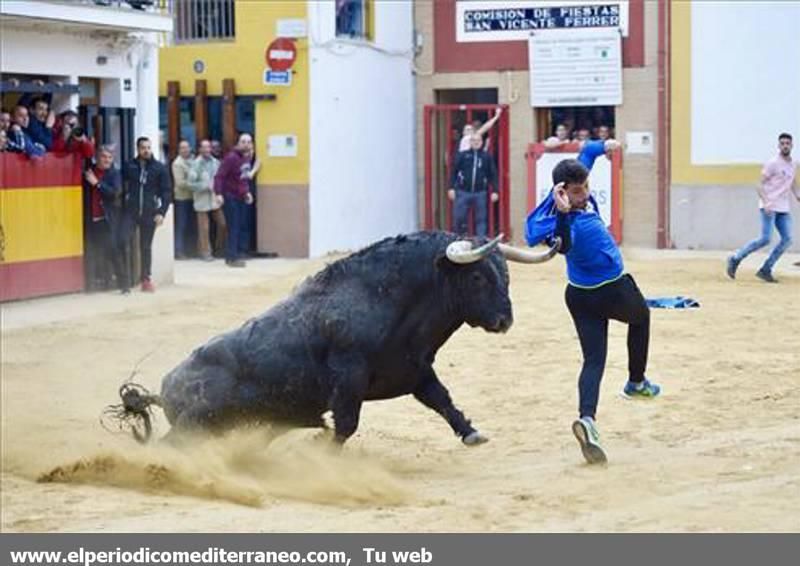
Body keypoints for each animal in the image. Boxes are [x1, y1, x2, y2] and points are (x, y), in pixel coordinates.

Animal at [108, 231, 556, 448]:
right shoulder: (348, 378)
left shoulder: (415, 371)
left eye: (506, 274)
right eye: (478, 276)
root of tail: (166, 387)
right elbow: (347, 424)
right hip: (198, 424)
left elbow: (443, 400)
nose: (505, 320)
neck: (389, 299)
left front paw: (471, 433)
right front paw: (322, 450)